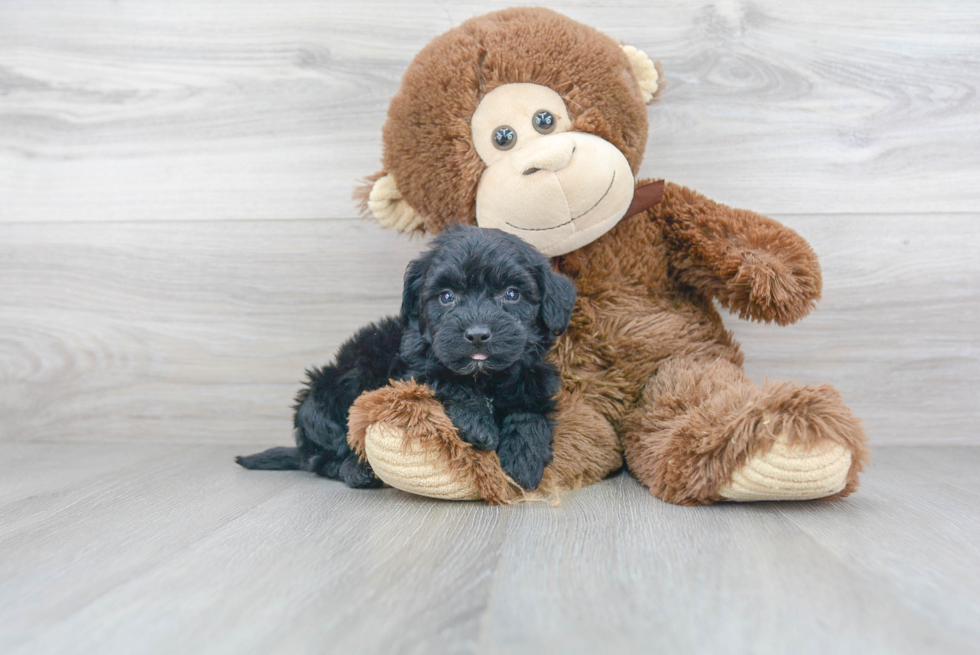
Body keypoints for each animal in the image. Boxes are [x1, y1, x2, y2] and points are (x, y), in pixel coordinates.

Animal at [235, 226, 576, 492]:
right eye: (447, 296)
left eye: (512, 294)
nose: (478, 334)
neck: (486, 378)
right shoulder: (411, 369)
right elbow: (447, 381)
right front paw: (478, 422)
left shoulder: (536, 380)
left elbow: (530, 413)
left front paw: (524, 458)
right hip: (326, 399)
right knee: (323, 456)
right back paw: (358, 470)